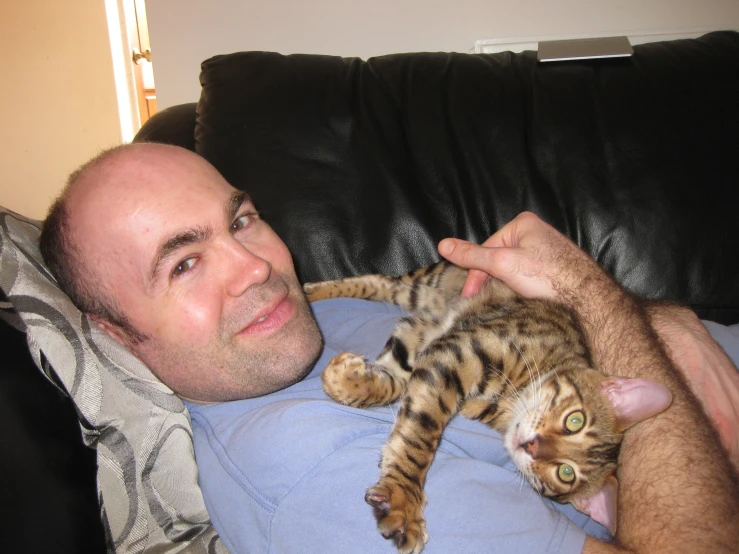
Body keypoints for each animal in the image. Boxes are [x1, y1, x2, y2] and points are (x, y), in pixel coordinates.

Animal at [304, 260, 672, 552]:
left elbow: (394, 385)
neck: (508, 399)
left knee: (382, 286)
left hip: (419, 302)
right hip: (433, 279)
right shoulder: (459, 352)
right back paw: (309, 291)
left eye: (564, 473)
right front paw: (403, 499)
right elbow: (419, 436)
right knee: (380, 279)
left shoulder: (430, 351)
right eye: (575, 421)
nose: (532, 445)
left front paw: (345, 380)